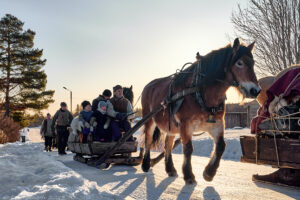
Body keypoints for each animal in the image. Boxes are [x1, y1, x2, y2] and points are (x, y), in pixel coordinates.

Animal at [141, 38, 260, 185]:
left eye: (253, 63)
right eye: (239, 63)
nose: (256, 90)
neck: (200, 92)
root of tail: (149, 85)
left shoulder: (217, 124)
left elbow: (221, 146)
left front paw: (209, 172)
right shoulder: (185, 126)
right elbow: (188, 149)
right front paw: (189, 175)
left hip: (171, 126)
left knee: (167, 145)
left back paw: (170, 169)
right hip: (149, 120)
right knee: (148, 139)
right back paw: (146, 164)